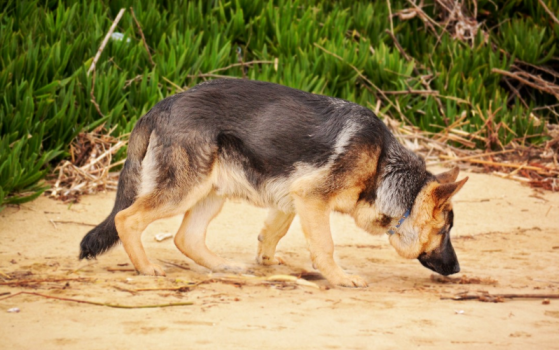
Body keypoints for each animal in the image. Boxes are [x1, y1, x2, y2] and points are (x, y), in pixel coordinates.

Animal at [81, 78, 468, 288]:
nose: (457, 269)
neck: (383, 166)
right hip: (182, 192)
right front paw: (340, 277)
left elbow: (273, 232)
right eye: (444, 231)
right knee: (126, 219)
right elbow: (325, 246)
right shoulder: (312, 198)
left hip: (210, 192)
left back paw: (224, 266)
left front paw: (266, 260)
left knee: (185, 237)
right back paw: (146, 268)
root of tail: (159, 107)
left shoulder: (293, 198)